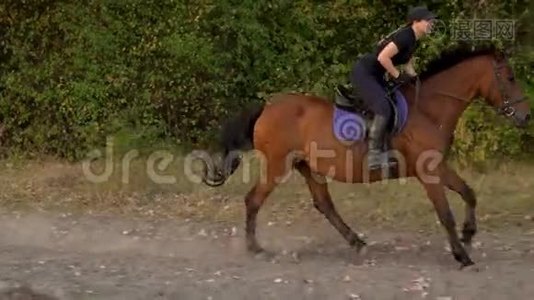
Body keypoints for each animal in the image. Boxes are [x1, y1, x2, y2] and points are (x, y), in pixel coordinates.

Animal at [200, 43, 532, 268]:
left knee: (325, 204)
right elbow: (445, 213)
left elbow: (469, 193)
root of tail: (267, 107)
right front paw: (461, 254)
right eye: (510, 77)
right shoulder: (429, 172)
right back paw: (255, 248)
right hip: (277, 166)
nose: (526, 117)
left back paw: (356, 242)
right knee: (253, 200)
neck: (429, 108)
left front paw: (468, 234)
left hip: (308, 167)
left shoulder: (439, 166)